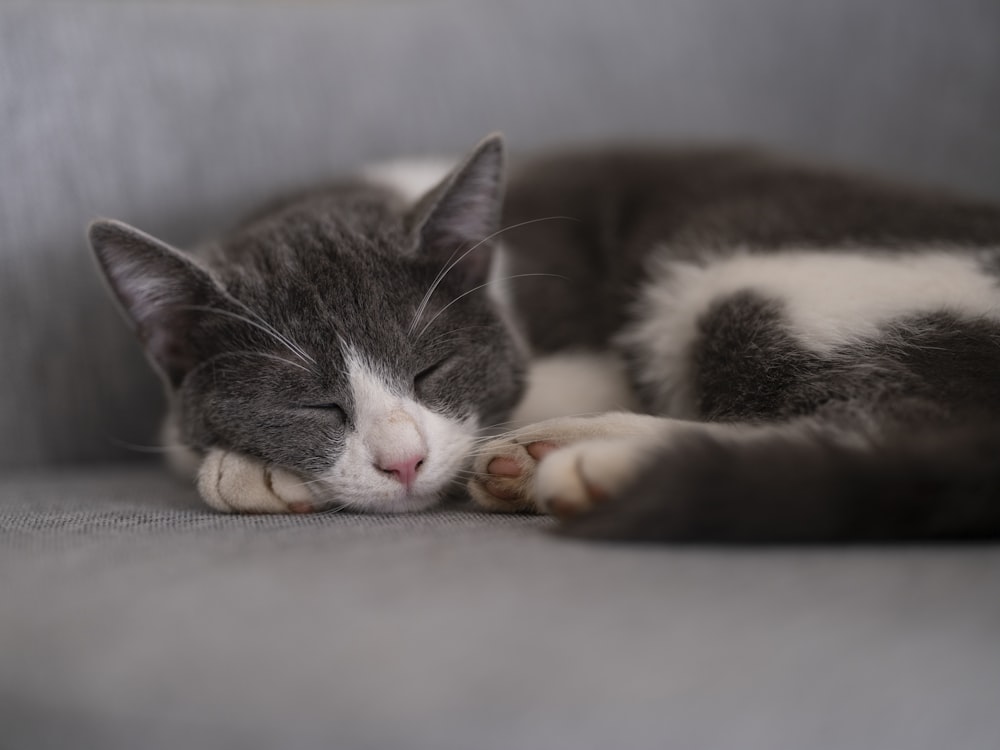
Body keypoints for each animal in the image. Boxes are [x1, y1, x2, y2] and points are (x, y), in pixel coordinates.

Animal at [86, 135, 1000, 544]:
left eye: (435, 368)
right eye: (311, 404)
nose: (404, 461)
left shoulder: (583, 351)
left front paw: (239, 470)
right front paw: (251, 465)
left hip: (743, 273)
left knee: (901, 419)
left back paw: (581, 459)